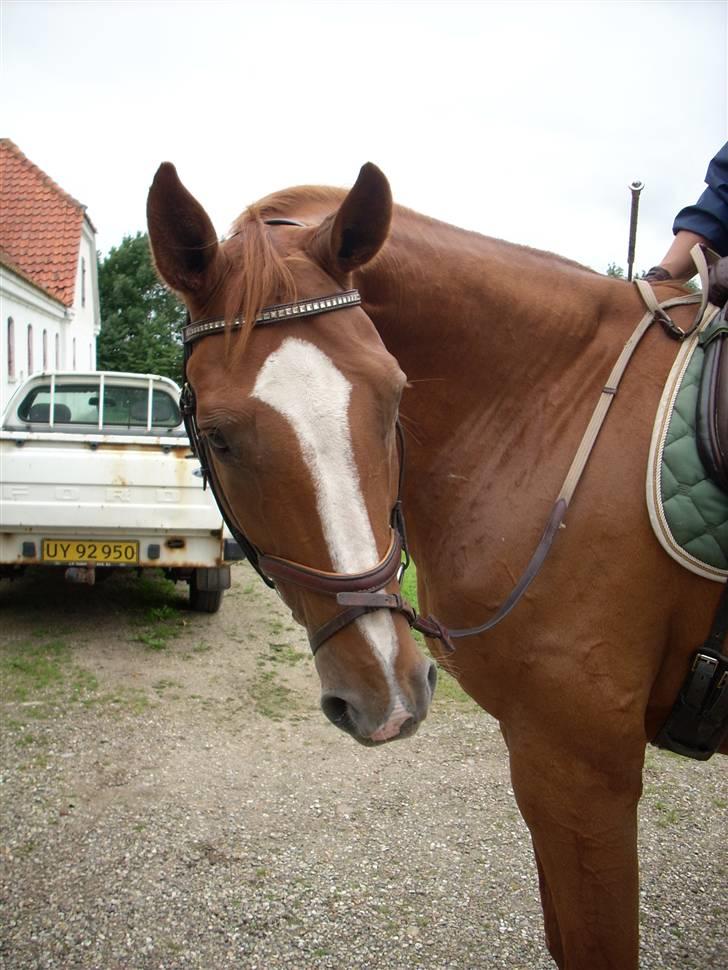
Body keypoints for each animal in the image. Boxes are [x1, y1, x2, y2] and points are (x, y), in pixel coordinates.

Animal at [146, 163, 724, 964]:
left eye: (394, 398)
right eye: (220, 435)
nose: (389, 694)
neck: (555, 412)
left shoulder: (582, 766)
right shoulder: (551, 763)